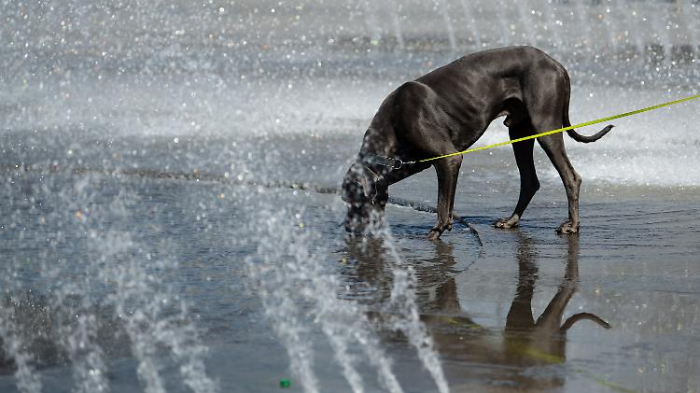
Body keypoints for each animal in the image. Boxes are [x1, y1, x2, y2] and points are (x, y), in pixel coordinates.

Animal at [344, 46, 612, 237]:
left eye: (350, 200)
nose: (346, 228)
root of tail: (558, 65)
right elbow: (447, 202)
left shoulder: (449, 159)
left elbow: (442, 204)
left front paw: (436, 232)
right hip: (519, 131)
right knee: (529, 180)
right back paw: (511, 221)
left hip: (545, 125)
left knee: (570, 177)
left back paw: (572, 226)